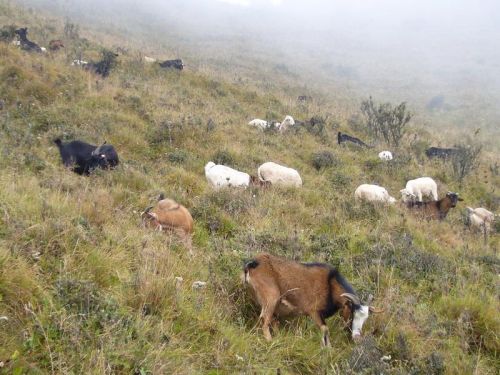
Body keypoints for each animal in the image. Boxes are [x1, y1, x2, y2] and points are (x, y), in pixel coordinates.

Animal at [243, 253, 382, 346]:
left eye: (366, 318)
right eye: (352, 312)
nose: (357, 338)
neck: (330, 283)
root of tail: (252, 264)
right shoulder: (314, 311)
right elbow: (325, 329)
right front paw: (326, 348)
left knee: (273, 320)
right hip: (271, 297)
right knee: (264, 319)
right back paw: (270, 341)